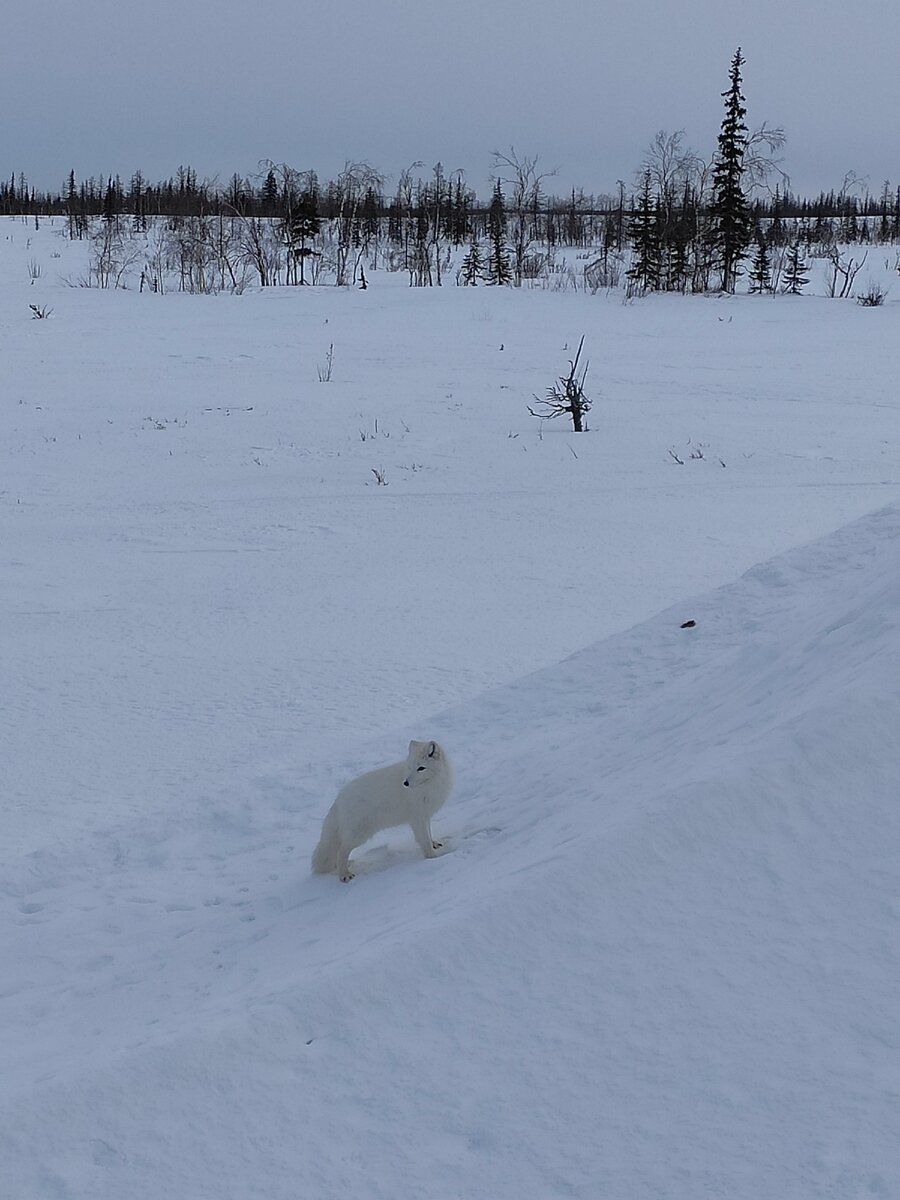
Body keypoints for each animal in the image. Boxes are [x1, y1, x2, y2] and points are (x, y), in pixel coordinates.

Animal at [312, 739, 453, 883]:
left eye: (421, 768)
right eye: (410, 767)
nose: (406, 783)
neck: (430, 784)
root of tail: (339, 799)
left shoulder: (425, 815)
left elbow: (428, 834)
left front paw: (434, 844)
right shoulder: (417, 818)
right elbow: (424, 840)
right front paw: (433, 858)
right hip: (359, 834)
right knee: (341, 851)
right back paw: (344, 875)